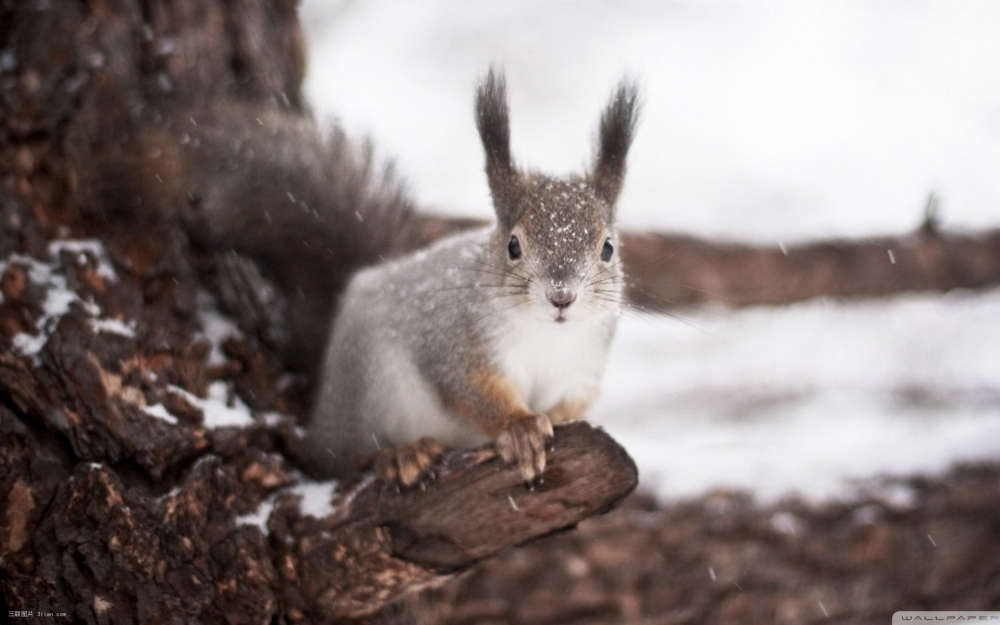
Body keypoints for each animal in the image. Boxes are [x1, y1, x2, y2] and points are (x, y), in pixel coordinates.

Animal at [298, 69, 640, 482]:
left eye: (608, 248)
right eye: (513, 246)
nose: (561, 297)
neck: (547, 335)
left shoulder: (580, 373)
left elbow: (568, 406)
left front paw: (565, 422)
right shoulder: (456, 345)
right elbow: (472, 391)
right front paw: (520, 429)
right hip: (366, 385)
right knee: (343, 457)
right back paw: (399, 454)